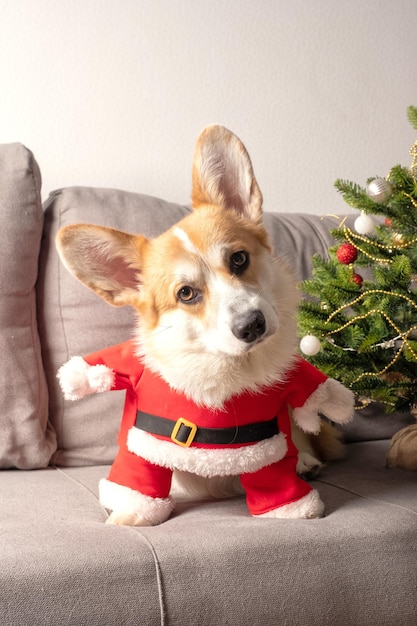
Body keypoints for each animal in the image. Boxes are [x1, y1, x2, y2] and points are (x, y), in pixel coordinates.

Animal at [57, 124, 352, 524]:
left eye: (239, 259)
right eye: (186, 293)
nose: (252, 325)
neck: (225, 371)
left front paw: (293, 504)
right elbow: (140, 481)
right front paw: (131, 515)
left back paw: (305, 461)